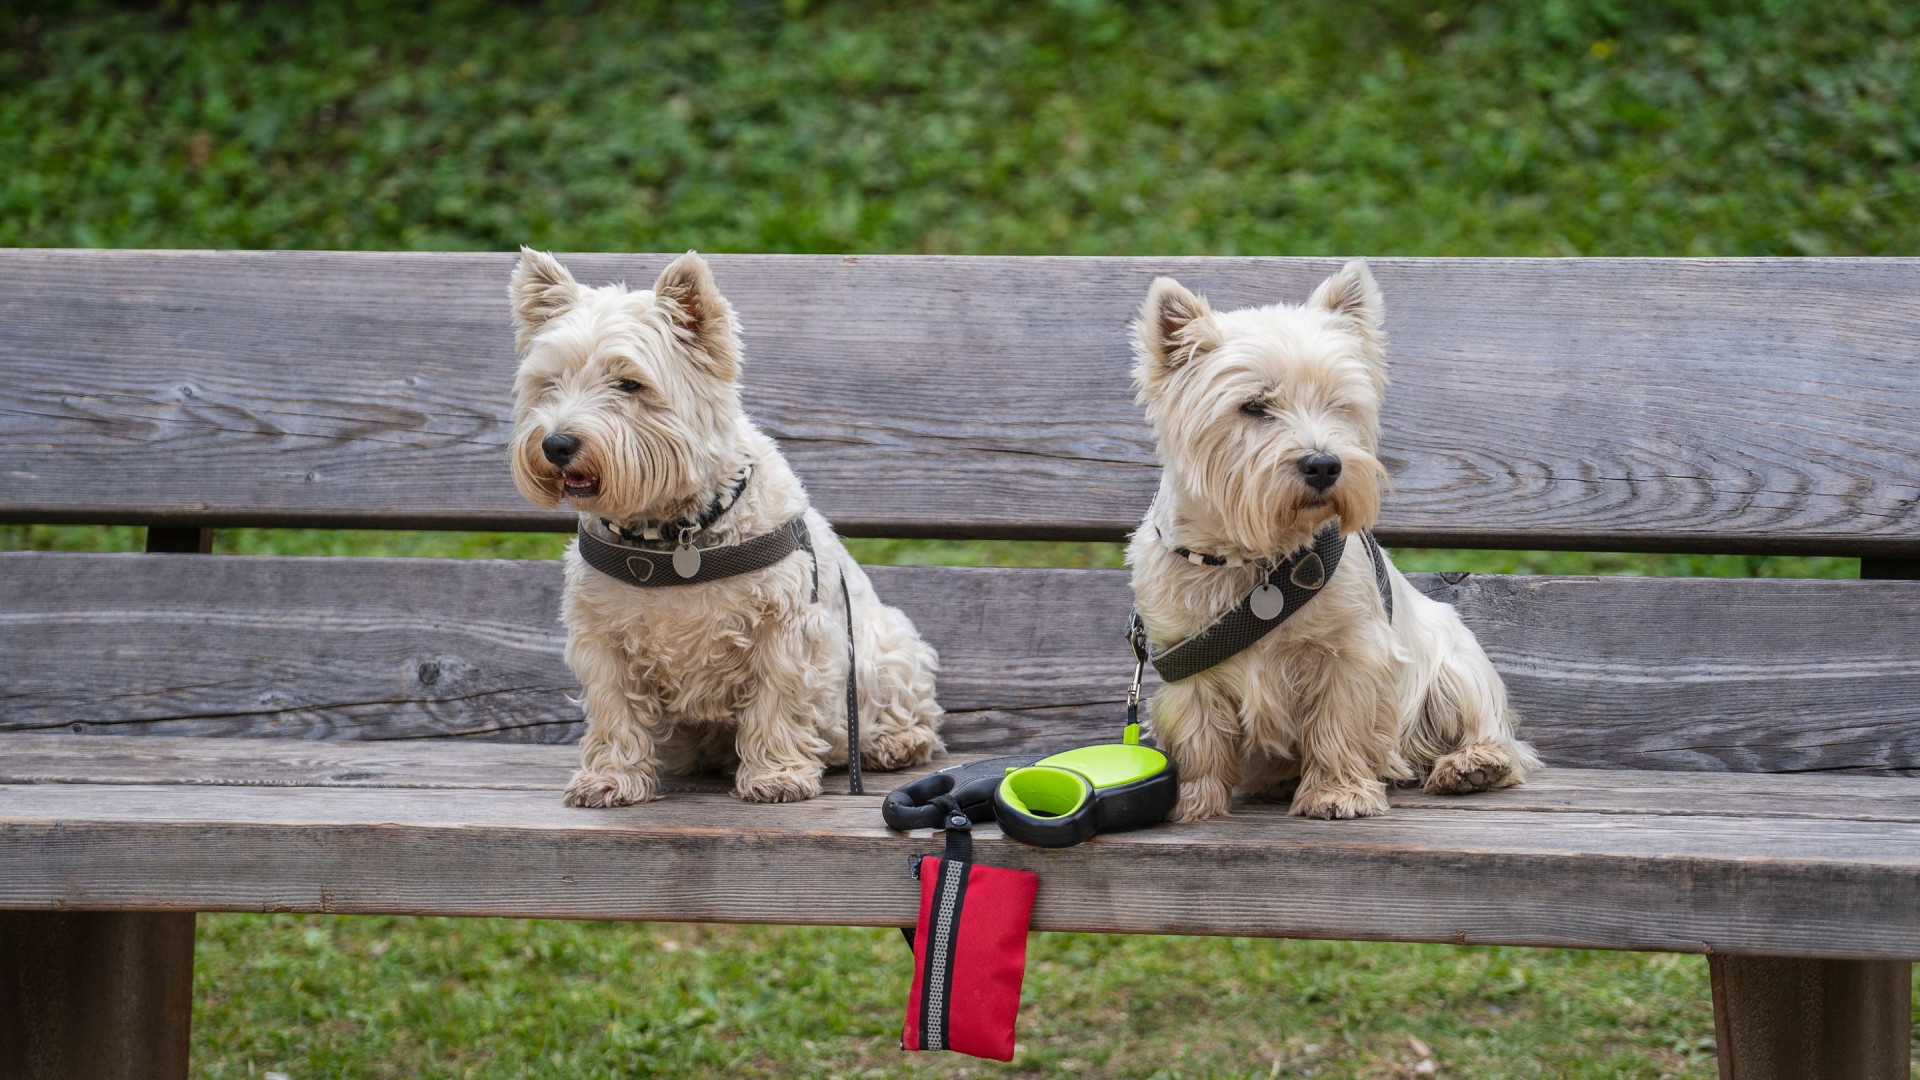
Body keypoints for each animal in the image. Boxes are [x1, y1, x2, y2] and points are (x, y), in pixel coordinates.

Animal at [503, 247, 936, 803]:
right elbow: (615, 707)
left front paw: (776, 775)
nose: (556, 444)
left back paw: (894, 743)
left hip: (885, 647)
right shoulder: (601, 636)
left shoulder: (785, 625)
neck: (675, 535)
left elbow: (777, 698)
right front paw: (611, 778)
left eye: (629, 383)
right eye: (550, 382)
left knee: (906, 708)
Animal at [1128, 259, 1536, 814]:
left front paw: (1338, 792)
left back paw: (1473, 765)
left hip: (1453, 665)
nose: (1324, 465)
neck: (1256, 558)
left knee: (1492, 731)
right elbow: (1197, 737)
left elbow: (1338, 721)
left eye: (1338, 404)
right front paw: (1193, 803)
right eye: (1254, 406)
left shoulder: (1351, 649)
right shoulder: (1184, 659)